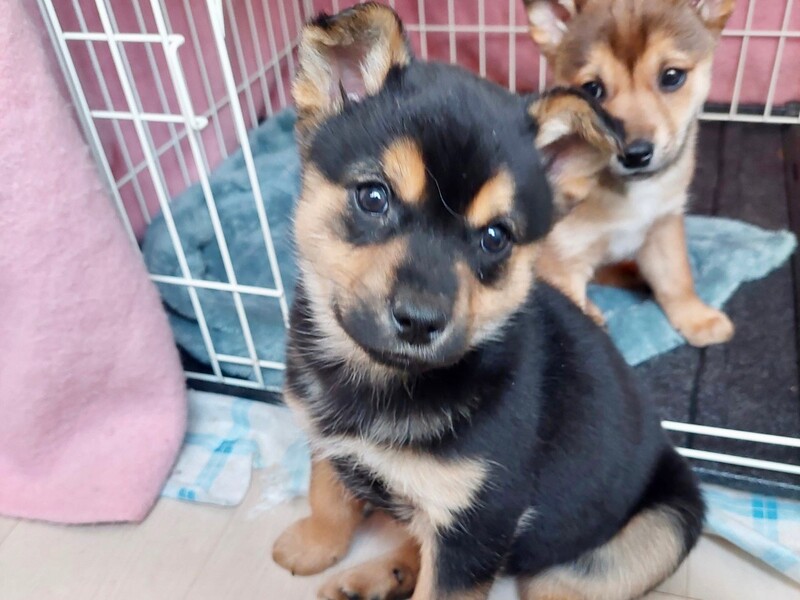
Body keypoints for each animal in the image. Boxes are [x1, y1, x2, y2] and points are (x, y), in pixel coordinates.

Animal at [271, 4, 704, 599]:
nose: (420, 322)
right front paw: (314, 545)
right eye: (373, 197)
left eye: (495, 238)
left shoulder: (475, 525)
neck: (381, 382)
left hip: (637, 539)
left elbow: (438, 580)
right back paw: (379, 575)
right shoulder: (328, 440)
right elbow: (327, 492)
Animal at [522, 0, 736, 345]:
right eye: (592, 89)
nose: (634, 154)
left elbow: (676, 280)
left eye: (672, 76)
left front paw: (697, 318)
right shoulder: (562, 260)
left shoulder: (663, 226)